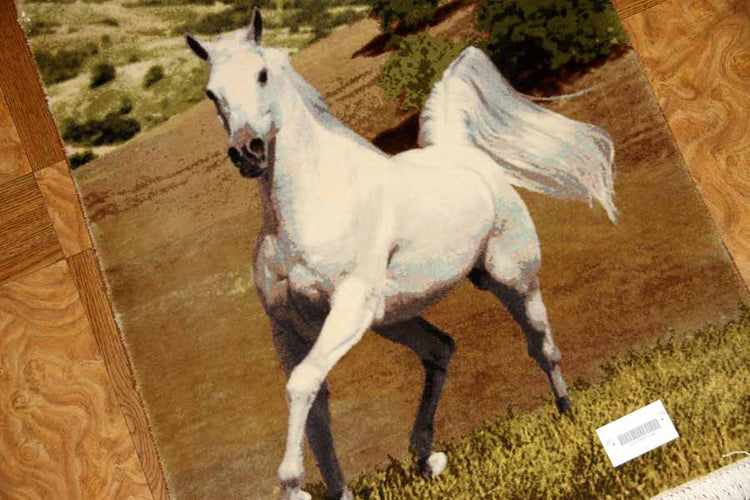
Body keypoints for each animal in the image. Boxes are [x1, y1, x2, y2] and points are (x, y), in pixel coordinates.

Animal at [186, 7, 617, 499]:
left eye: (261, 75)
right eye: (211, 93)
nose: (247, 152)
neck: (312, 204)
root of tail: (460, 152)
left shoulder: (348, 308)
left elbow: (302, 386)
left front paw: (293, 485)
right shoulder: (288, 328)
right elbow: (316, 406)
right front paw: (337, 491)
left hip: (512, 279)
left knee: (541, 345)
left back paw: (567, 413)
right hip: (393, 319)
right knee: (440, 349)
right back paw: (427, 456)